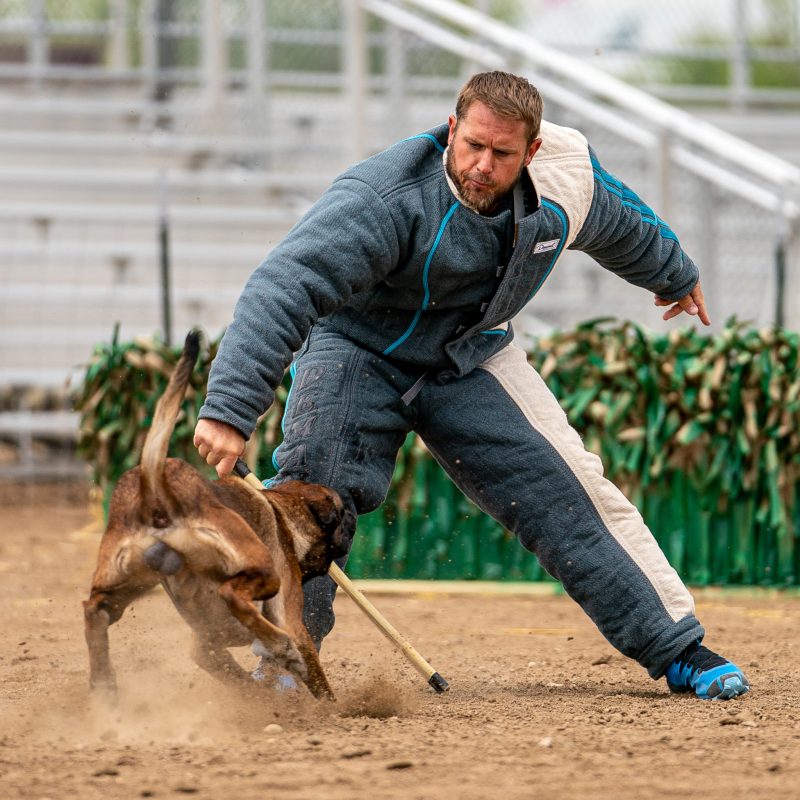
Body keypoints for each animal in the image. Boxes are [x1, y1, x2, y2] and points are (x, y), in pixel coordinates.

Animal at [83, 332, 354, 700]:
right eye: (341, 515)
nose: (354, 518)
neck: (285, 511)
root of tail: (155, 490)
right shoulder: (292, 619)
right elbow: (317, 676)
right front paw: (333, 709)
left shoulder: (205, 645)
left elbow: (233, 674)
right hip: (261, 567)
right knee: (233, 594)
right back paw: (281, 647)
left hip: (125, 582)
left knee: (92, 610)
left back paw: (103, 683)